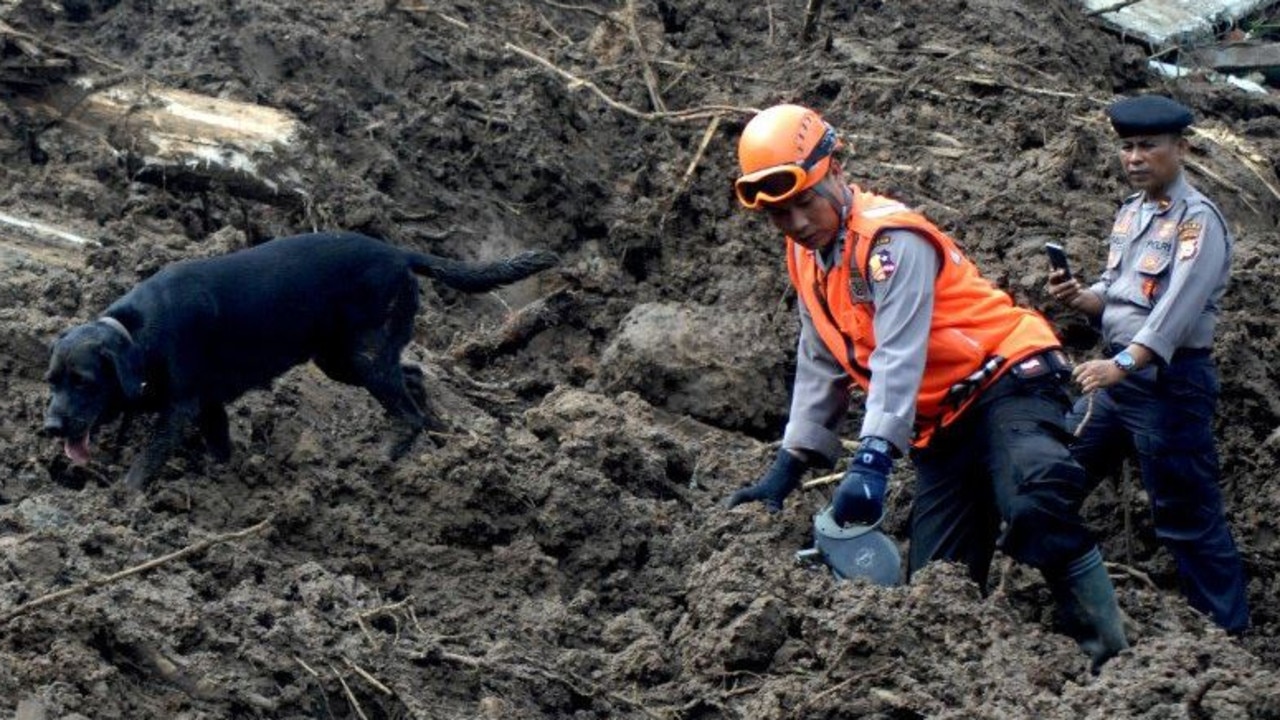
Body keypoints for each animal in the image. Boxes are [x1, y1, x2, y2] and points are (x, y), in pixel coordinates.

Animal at [46, 229, 555, 486]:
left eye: (84, 380)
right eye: (51, 381)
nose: (50, 427)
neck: (137, 334)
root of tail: (398, 251)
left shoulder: (181, 406)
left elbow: (146, 463)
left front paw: (124, 506)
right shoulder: (209, 406)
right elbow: (219, 448)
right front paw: (221, 483)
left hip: (362, 356)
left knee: (404, 409)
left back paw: (380, 462)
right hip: (343, 358)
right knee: (411, 378)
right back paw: (433, 433)